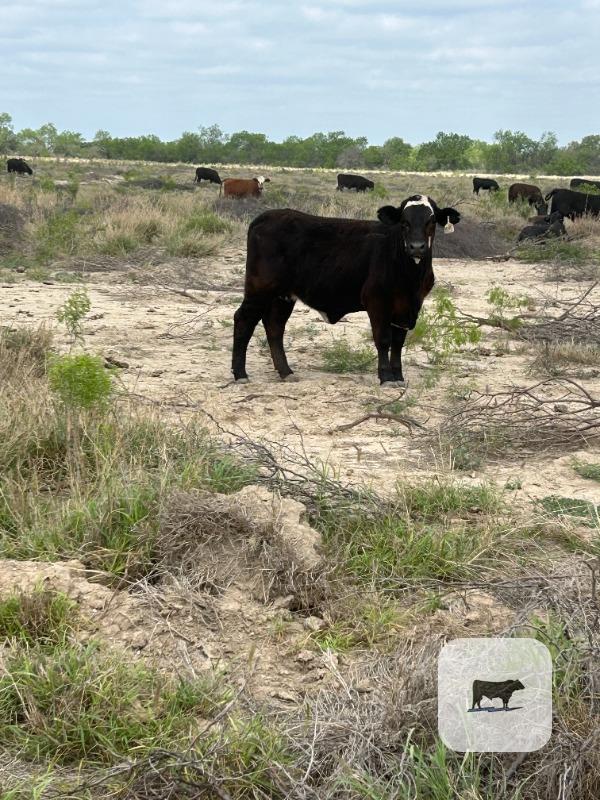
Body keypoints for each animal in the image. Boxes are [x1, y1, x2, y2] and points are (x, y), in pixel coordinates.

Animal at [231, 194, 461, 386]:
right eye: (404, 222)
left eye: (431, 221)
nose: (416, 247)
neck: (410, 276)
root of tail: (265, 216)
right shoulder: (377, 301)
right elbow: (383, 339)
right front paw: (386, 377)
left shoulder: (408, 306)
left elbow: (398, 342)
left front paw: (398, 376)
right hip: (259, 289)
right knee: (244, 320)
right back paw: (240, 373)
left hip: (283, 296)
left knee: (275, 327)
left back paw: (286, 371)